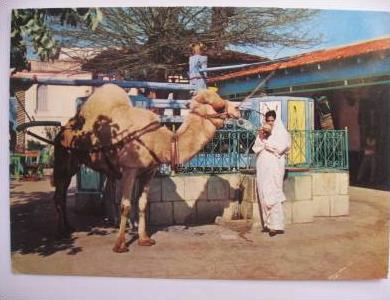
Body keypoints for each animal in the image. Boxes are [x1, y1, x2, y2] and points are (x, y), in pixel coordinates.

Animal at [51, 83, 241, 252]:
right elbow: (126, 205)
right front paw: (120, 244)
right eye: (219, 107)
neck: (162, 141)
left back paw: (68, 227)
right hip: (63, 159)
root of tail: (64, 127)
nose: (238, 109)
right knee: (59, 194)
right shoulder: (129, 169)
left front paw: (144, 239)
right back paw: (61, 232)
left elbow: (142, 203)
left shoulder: (149, 171)